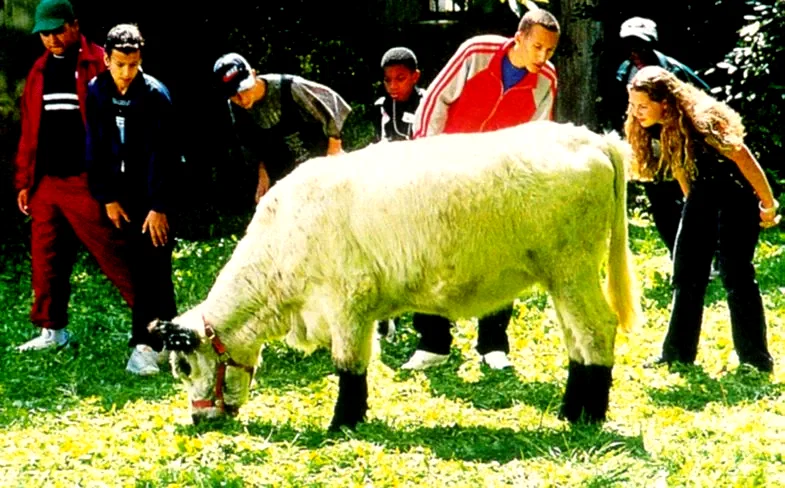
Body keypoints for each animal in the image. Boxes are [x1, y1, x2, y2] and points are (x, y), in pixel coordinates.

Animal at [150, 120, 642, 431]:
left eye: (183, 366)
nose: (199, 418)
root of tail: (588, 138)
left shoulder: (346, 305)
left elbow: (348, 367)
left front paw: (341, 423)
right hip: (561, 280)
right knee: (576, 341)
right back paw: (570, 410)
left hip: (573, 269)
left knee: (597, 331)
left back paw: (590, 415)